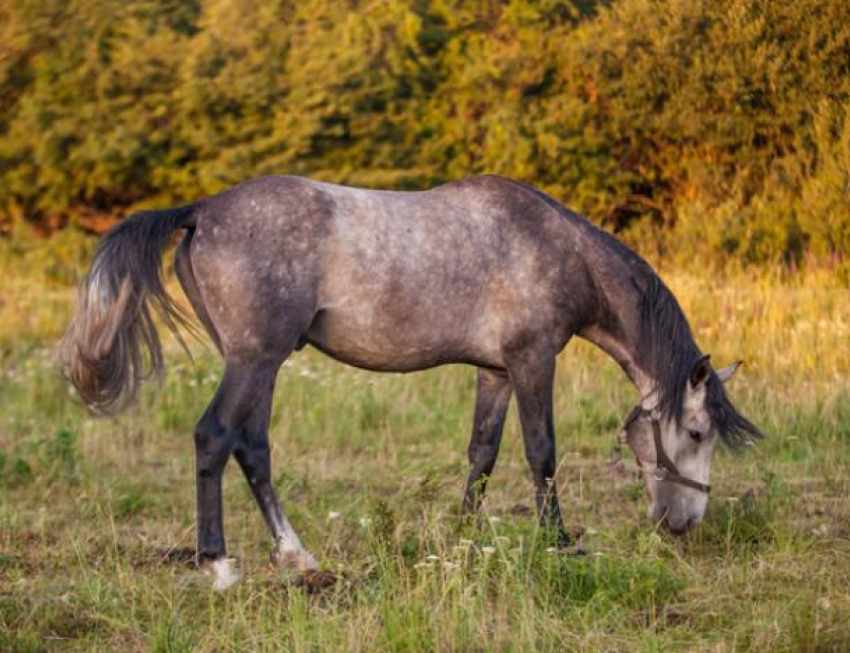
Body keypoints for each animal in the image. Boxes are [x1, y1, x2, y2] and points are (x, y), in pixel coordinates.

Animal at [63, 173, 760, 584]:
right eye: (696, 434)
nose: (685, 523)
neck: (556, 247)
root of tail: (202, 211)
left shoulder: (495, 371)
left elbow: (483, 452)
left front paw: (464, 534)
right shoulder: (534, 361)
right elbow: (542, 452)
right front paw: (559, 541)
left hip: (261, 363)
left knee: (251, 447)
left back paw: (297, 555)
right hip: (255, 359)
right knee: (215, 437)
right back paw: (220, 563)